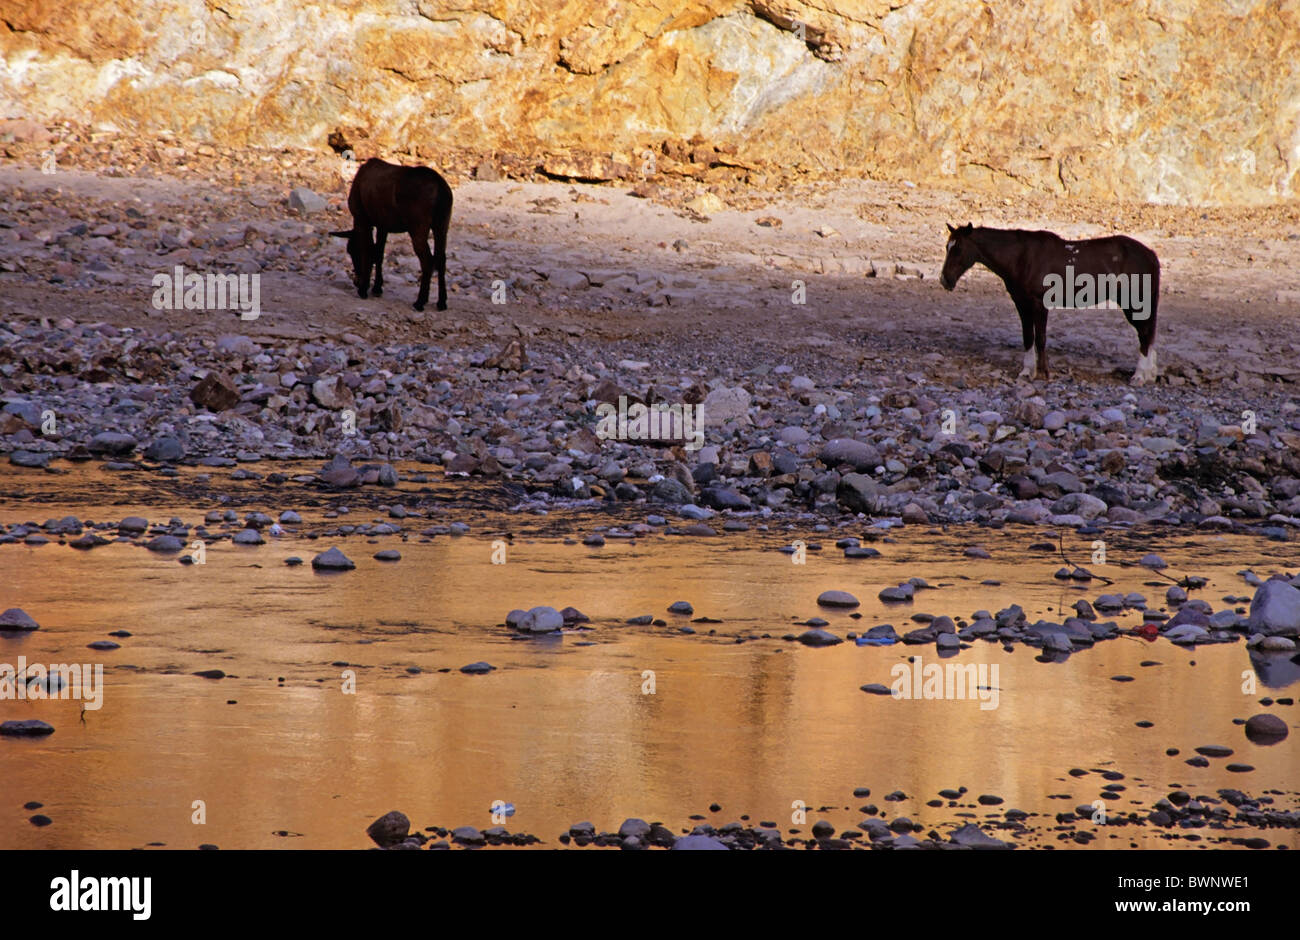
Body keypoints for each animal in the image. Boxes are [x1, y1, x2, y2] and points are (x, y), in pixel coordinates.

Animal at [941, 222, 1164, 384]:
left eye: (958, 249)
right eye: (947, 247)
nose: (945, 280)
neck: (1021, 257)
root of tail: (1150, 254)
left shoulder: (1039, 304)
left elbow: (1040, 338)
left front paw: (1044, 373)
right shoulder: (1022, 303)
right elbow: (1028, 337)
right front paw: (1027, 371)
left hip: (1134, 304)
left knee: (1145, 335)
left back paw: (1139, 376)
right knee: (1148, 334)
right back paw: (1149, 374)